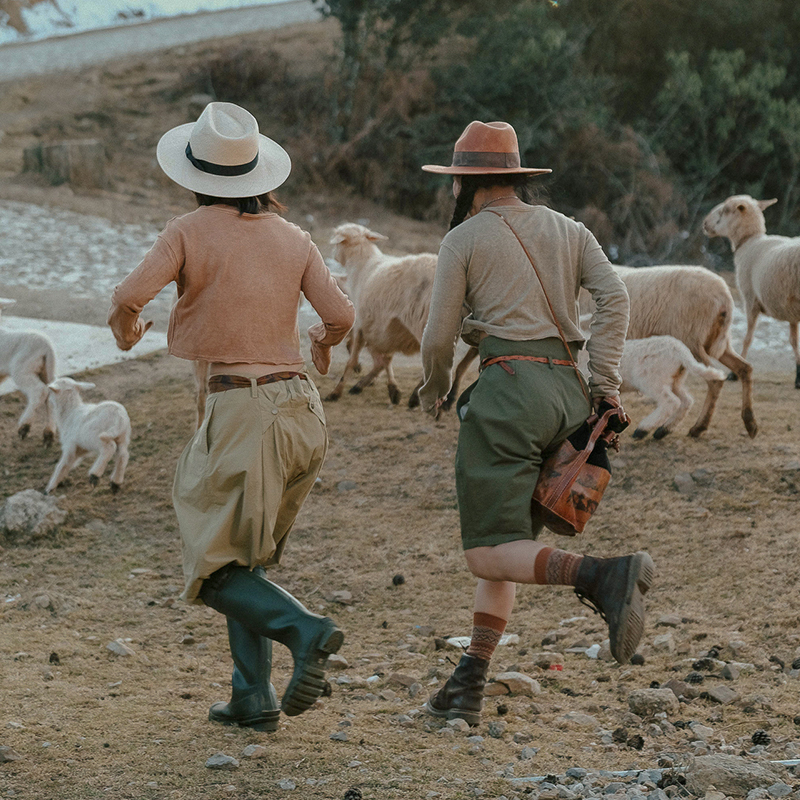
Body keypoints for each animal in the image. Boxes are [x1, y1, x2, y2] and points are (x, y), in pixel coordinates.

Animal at [0, 296, 57, 444]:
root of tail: (47, 347)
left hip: (23, 369)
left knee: (39, 391)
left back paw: (24, 427)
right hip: (47, 371)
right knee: (52, 395)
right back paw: (48, 434)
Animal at [612, 264, 756, 438]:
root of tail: (724, 297)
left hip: (691, 339)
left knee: (713, 381)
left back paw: (695, 427)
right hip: (715, 342)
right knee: (744, 368)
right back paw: (750, 422)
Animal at [704, 194, 796, 388]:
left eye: (725, 210)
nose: (705, 223)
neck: (749, 240)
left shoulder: (750, 299)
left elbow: (748, 338)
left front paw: (734, 374)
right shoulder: (790, 305)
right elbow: (793, 341)